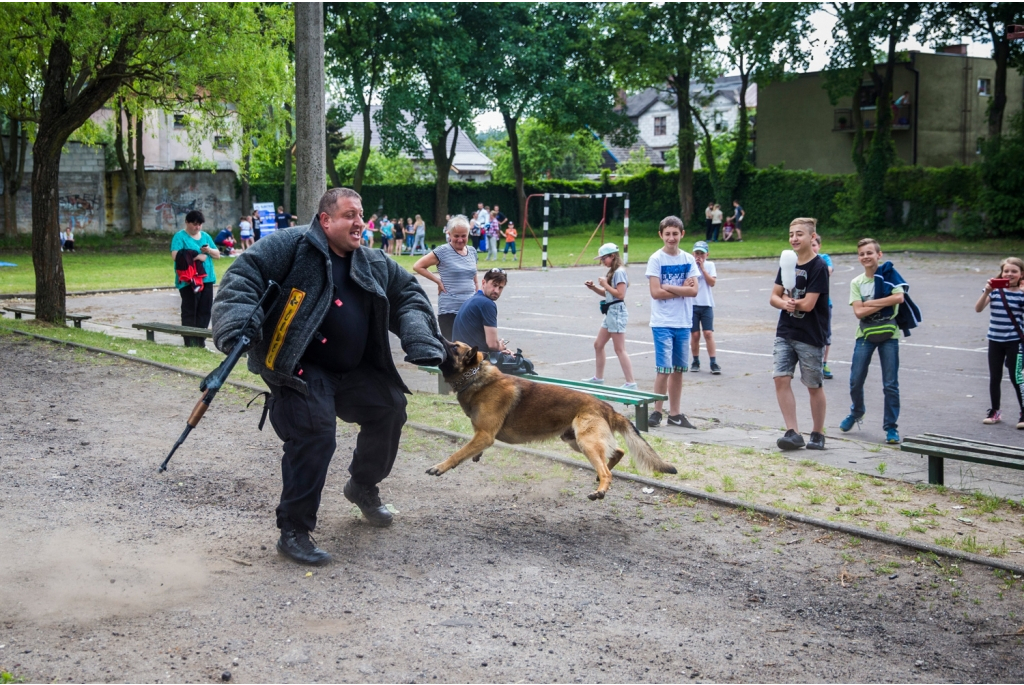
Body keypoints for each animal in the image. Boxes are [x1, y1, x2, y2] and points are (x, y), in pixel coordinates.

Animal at [428, 339, 675, 499]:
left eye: (454, 347)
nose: (438, 335)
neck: (477, 377)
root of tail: (606, 406)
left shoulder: (485, 435)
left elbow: (457, 453)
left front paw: (440, 467)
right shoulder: (481, 436)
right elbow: (469, 449)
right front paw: (475, 456)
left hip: (585, 442)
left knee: (607, 470)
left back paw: (601, 490)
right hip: (576, 441)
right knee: (617, 453)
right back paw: (601, 476)